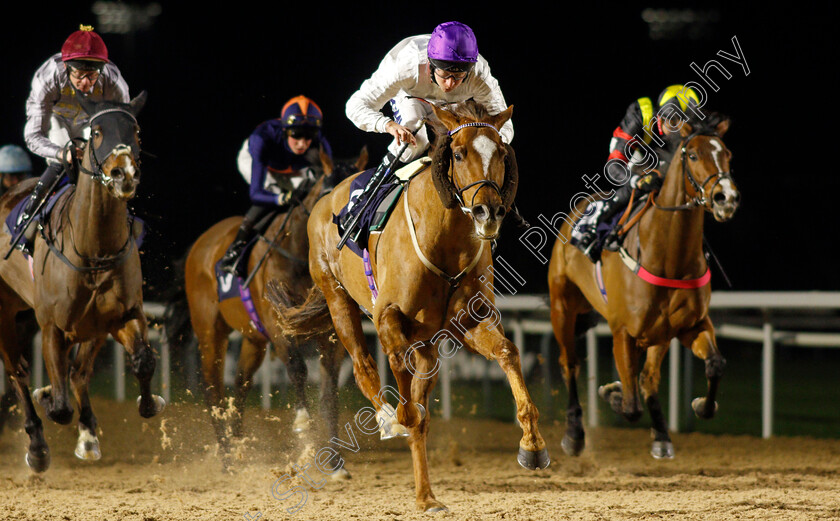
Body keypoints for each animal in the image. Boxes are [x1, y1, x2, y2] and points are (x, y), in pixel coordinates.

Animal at [0, 92, 164, 472]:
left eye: (136, 130)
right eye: (98, 132)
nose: (123, 173)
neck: (94, 250)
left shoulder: (120, 316)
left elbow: (143, 360)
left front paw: (149, 404)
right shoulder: (52, 327)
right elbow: (59, 407)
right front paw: (46, 397)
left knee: (77, 372)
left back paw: (87, 433)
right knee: (17, 372)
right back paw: (37, 445)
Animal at [168, 147, 368, 472]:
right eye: (330, 196)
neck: (297, 254)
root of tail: (201, 244)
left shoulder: (329, 333)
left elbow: (329, 391)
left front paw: (335, 461)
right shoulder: (277, 326)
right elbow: (297, 368)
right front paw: (302, 422)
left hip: (253, 339)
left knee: (240, 384)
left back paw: (237, 445)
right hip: (210, 331)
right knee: (212, 388)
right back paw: (226, 456)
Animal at [276, 99, 548, 510]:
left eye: (501, 153)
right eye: (458, 153)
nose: (488, 212)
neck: (444, 241)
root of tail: (325, 200)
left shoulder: (467, 322)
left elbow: (508, 353)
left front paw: (532, 445)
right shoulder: (388, 317)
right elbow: (401, 384)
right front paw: (398, 417)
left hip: (427, 342)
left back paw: (426, 495)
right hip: (338, 299)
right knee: (363, 367)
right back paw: (389, 423)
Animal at [548, 112, 740, 460]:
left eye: (727, 155)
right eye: (693, 155)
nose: (726, 198)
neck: (668, 256)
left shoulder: (690, 325)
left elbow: (715, 364)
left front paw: (700, 406)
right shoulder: (623, 332)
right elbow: (630, 405)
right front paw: (612, 393)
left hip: (657, 335)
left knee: (649, 378)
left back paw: (662, 434)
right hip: (563, 307)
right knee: (569, 364)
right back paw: (574, 434)